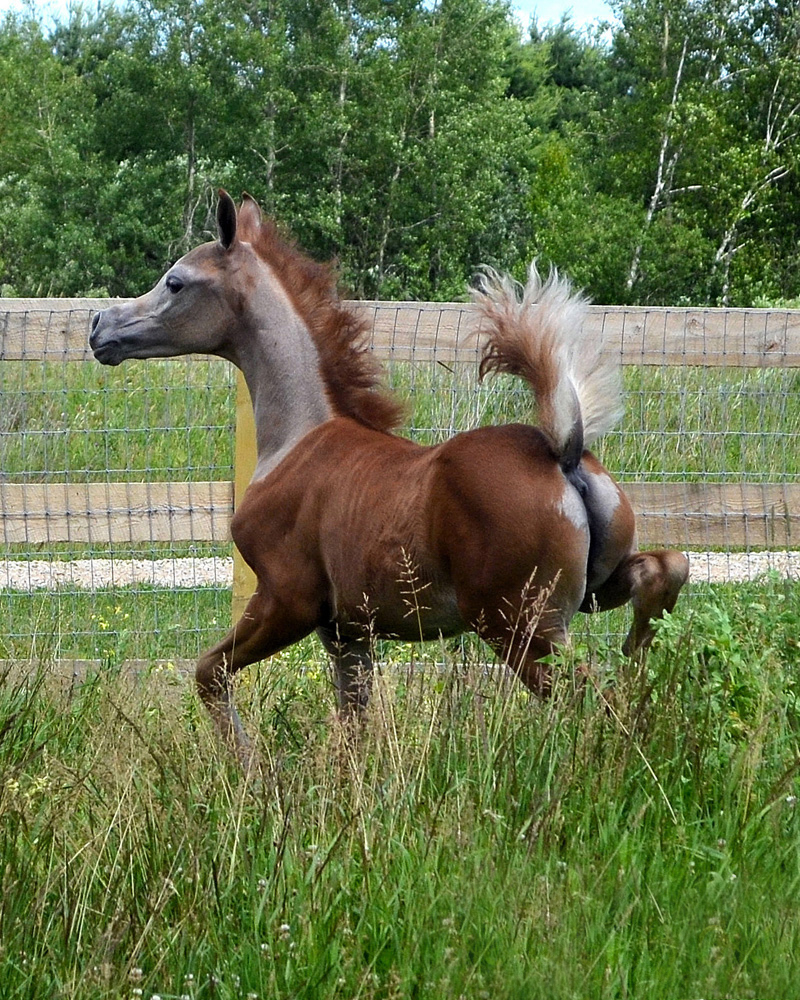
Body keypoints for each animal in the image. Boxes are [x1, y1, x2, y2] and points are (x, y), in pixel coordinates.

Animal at [90, 190, 689, 769]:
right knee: (665, 570)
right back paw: (639, 655)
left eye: (175, 281)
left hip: (521, 625)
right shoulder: (349, 631)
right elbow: (353, 726)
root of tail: (561, 453)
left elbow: (209, 672)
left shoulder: (288, 600)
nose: (100, 327)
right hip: (587, 594)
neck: (298, 438)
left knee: (591, 698)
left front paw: (253, 769)